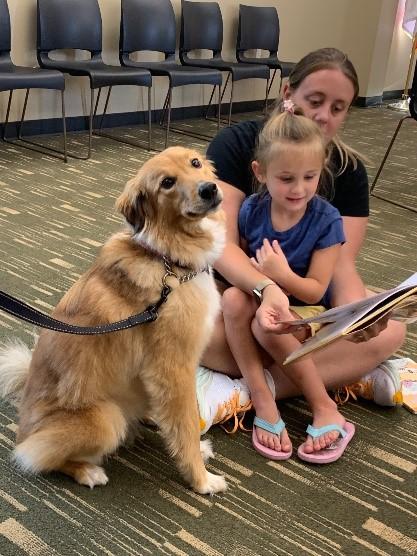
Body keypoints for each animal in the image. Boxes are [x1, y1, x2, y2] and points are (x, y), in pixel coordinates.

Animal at [0, 148, 228, 496]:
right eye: (167, 183)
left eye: (195, 163)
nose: (209, 189)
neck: (167, 261)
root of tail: (23, 426)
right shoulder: (174, 367)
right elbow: (186, 422)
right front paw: (201, 480)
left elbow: (179, 420)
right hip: (106, 419)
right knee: (34, 456)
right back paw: (87, 471)